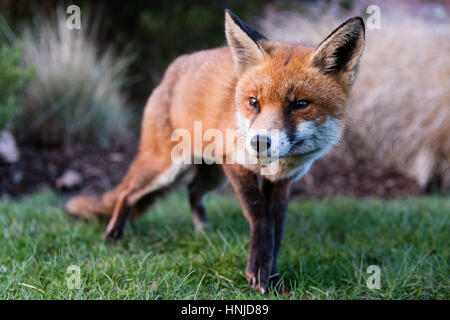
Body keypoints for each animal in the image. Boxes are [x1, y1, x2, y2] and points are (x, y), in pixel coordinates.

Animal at [65, 9, 364, 296]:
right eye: (253, 102)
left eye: (300, 104)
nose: (258, 142)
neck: (274, 166)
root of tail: (173, 68)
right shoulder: (235, 164)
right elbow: (260, 216)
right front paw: (258, 273)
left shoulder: (282, 180)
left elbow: (276, 228)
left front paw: (274, 279)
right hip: (166, 167)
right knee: (126, 193)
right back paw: (113, 237)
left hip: (211, 175)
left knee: (192, 190)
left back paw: (203, 233)